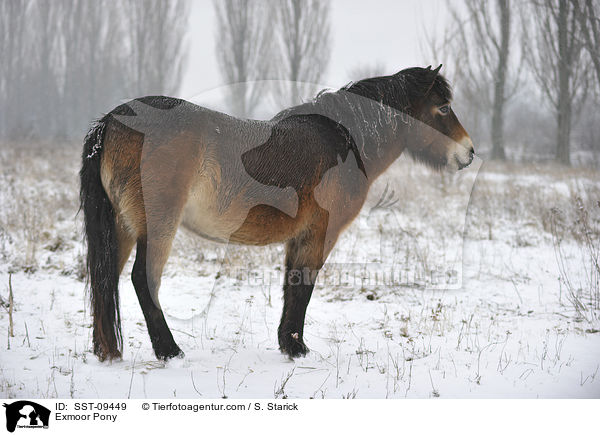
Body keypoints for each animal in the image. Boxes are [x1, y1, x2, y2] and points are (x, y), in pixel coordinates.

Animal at [79, 64, 474, 362]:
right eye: (442, 108)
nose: (469, 152)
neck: (343, 143)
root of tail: (112, 121)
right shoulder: (319, 235)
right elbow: (303, 287)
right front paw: (297, 348)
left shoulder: (298, 238)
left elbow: (291, 286)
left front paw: (288, 344)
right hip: (158, 225)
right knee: (142, 280)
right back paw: (169, 351)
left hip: (122, 227)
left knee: (105, 278)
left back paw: (108, 352)